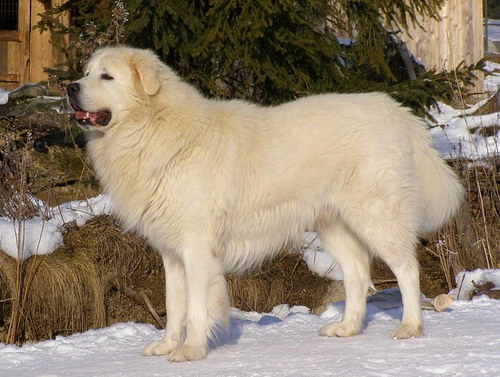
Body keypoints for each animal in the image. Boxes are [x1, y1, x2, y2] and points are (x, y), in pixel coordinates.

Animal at [65, 47, 460, 362]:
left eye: (106, 76)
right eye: (86, 72)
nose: (69, 87)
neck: (155, 130)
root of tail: (393, 109)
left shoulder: (196, 248)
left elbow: (195, 308)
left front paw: (191, 351)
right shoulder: (171, 253)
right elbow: (174, 305)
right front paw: (167, 346)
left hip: (376, 215)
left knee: (407, 269)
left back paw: (410, 327)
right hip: (333, 224)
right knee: (358, 273)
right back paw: (347, 328)